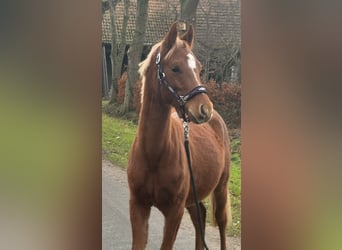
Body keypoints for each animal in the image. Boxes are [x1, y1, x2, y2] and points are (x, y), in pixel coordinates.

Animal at [127, 22, 231, 249]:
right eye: (175, 68)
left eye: (199, 68)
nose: (205, 109)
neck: (153, 155)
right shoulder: (138, 206)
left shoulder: (174, 212)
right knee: (200, 217)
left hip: (221, 187)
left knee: (221, 223)